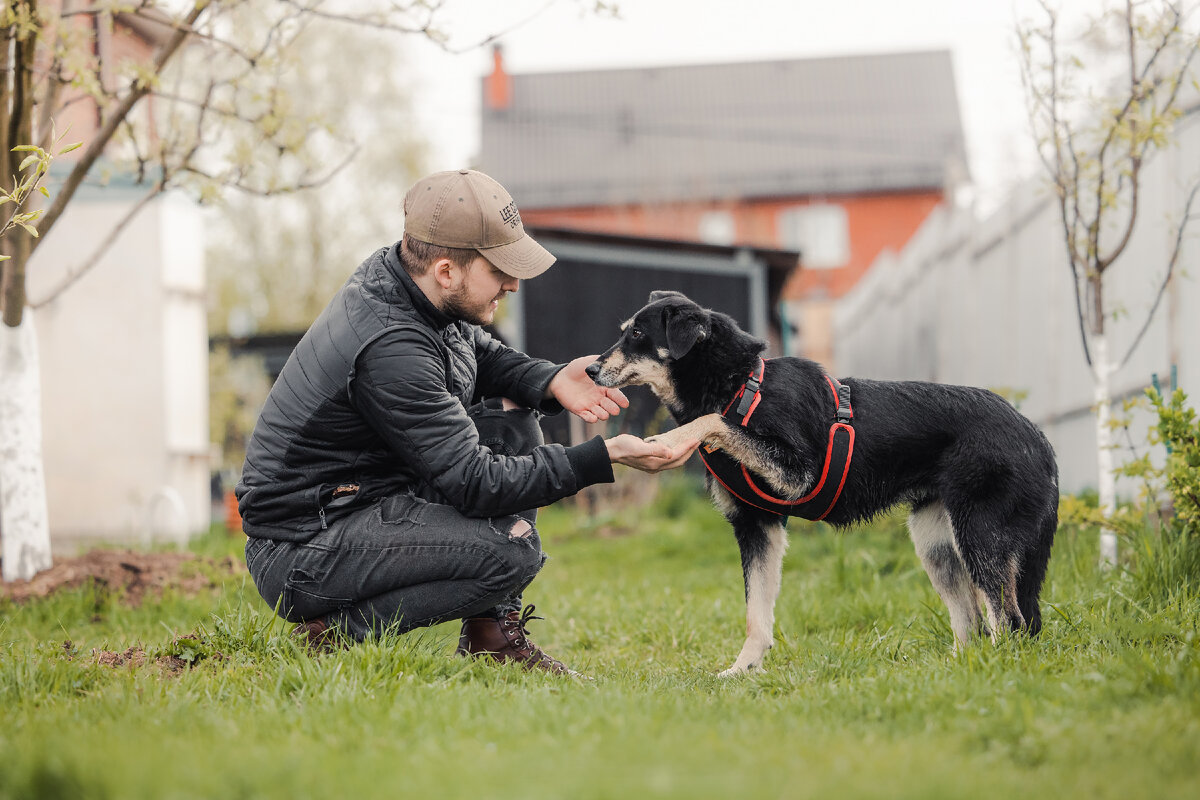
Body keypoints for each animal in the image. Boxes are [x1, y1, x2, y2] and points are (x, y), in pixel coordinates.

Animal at [585, 291, 1056, 671]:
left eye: (637, 334)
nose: (589, 370)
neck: (743, 387)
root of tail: (1038, 439)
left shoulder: (796, 474)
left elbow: (713, 421)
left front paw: (670, 438)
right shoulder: (758, 526)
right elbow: (757, 615)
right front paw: (742, 672)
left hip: (978, 535)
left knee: (1008, 620)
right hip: (936, 544)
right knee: (973, 622)